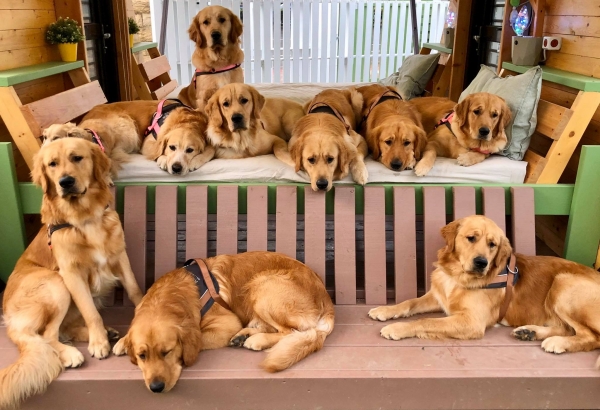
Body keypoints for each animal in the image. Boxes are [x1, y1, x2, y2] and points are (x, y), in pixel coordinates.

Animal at [0, 138, 144, 409]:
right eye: (52, 164)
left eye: (77, 158)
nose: (65, 182)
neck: (84, 217)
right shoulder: (71, 274)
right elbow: (90, 312)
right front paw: (98, 342)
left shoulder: (120, 255)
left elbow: (134, 290)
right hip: (55, 284)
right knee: (47, 335)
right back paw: (72, 352)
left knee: (61, 330)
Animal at [113, 252, 334, 393]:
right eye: (142, 356)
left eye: (167, 352)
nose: (156, 388)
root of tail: (326, 299)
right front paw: (122, 342)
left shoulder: (227, 322)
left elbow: (199, 339)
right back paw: (244, 335)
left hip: (263, 285)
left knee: (290, 331)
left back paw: (256, 339)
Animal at [368, 215, 600, 363]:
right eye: (471, 238)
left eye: (492, 244)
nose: (481, 263)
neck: (457, 275)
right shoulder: (438, 297)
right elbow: (409, 302)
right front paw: (385, 310)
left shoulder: (471, 322)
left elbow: (426, 321)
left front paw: (397, 328)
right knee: (568, 328)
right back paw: (529, 332)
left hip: (563, 283)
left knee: (591, 337)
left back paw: (558, 342)